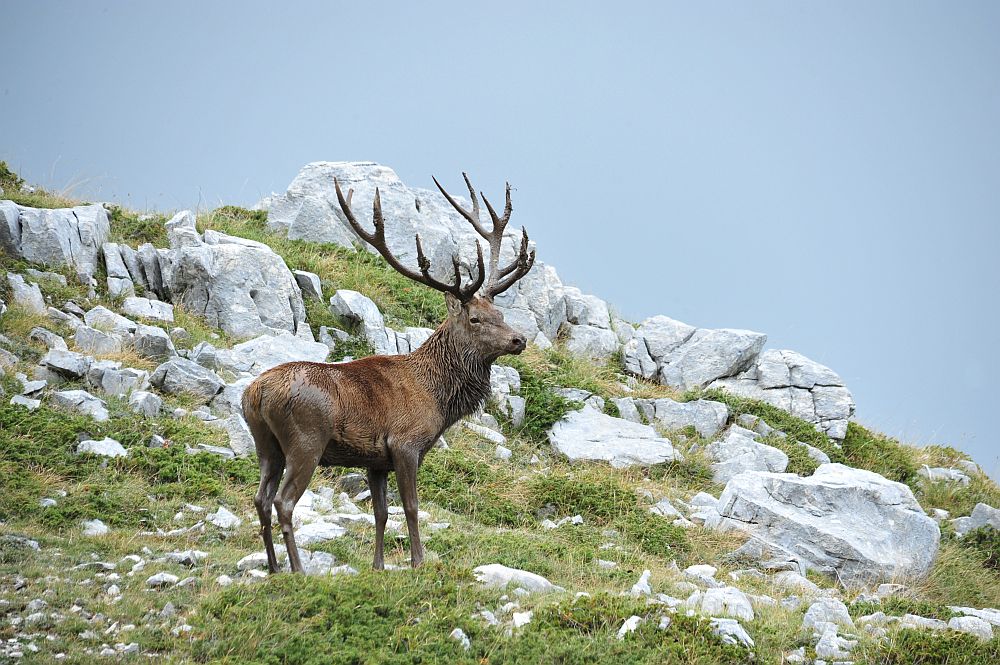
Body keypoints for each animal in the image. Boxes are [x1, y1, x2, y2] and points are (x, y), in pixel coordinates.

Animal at [240, 171, 540, 572]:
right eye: (476, 319)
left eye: (501, 314)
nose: (519, 339)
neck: (438, 400)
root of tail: (255, 393)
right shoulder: (406, 443)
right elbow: (411, 506)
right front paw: (419, 562)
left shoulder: (375, 459)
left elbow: (381, 512)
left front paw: (378, 566)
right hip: (306, 439)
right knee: (283, 501)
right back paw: (298, 570)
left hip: (265, 444)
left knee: (260, 498)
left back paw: (274, 568)